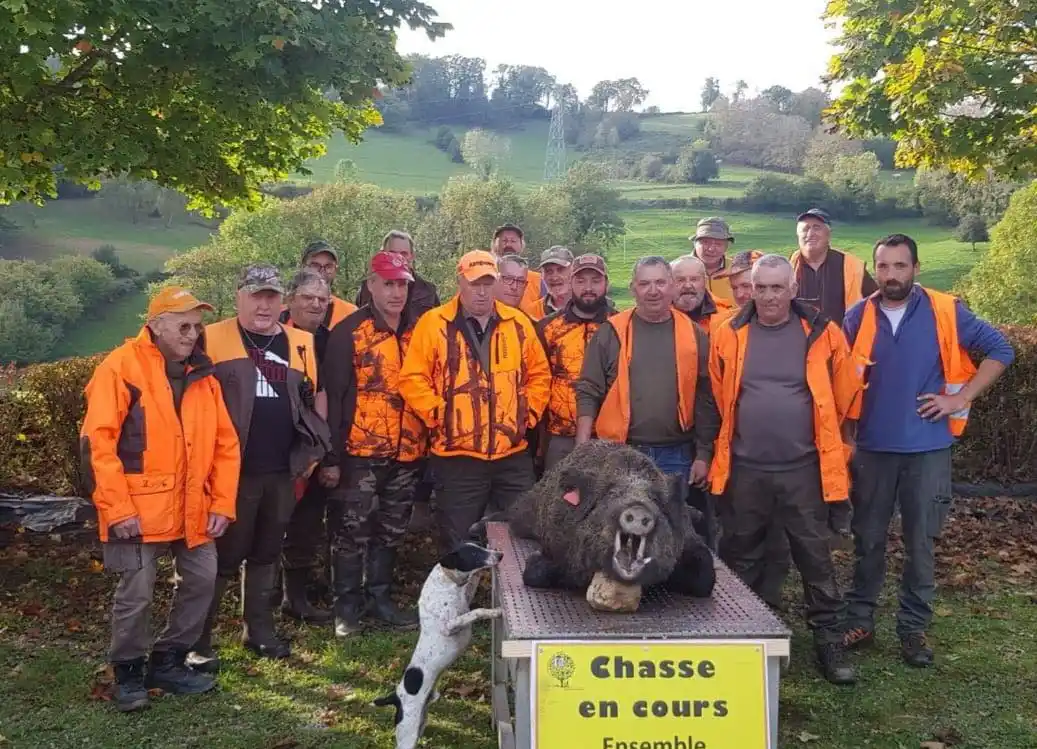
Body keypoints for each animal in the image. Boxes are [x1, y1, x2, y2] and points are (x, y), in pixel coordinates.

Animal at [373, 539, 506, 742]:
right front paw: (495, 612)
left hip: (420, 723)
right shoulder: (449, 625)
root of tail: (395, 696)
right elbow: (476, 611)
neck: (447, 580)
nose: (500, 555)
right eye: (474, 554)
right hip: (408, 731)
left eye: (480, 547)